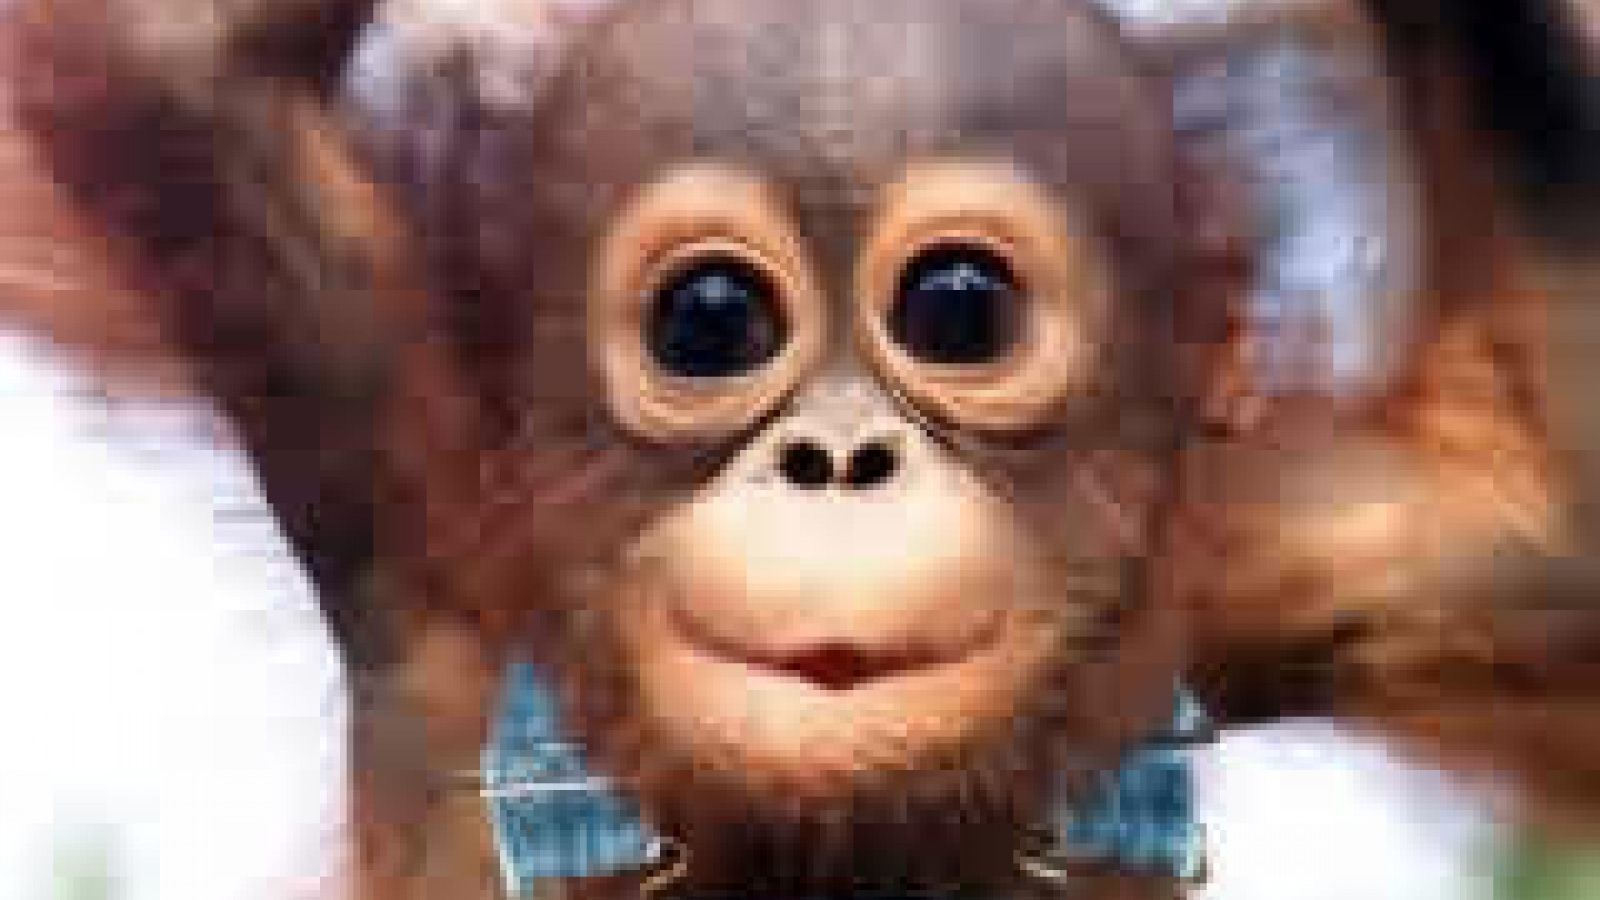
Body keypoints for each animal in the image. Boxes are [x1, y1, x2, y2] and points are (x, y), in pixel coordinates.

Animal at [3, 1, 1598, 899]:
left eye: (959, 310)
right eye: (711, 322)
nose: (837, 460)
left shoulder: (1277, 559)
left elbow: (1546, 534)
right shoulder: (388, 413)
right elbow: (180, 63)